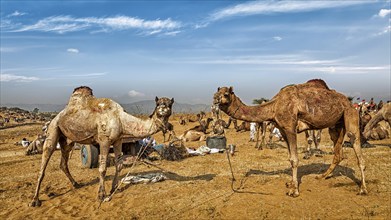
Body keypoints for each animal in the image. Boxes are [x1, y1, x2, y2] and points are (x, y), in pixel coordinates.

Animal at [31, 86, 175, 206]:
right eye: (158, 103)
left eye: (170, 104)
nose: (163, 110)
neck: (120, 119)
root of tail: (57, 116)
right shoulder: (104, 140)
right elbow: (102, 168)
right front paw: (101, 195)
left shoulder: (118, 140)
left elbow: (119, 165)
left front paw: (114, 188)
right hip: (53, 128)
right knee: (44, 162)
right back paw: (35, 200)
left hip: (67, 140)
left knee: (63, 162)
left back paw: (76, 184)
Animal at [213, 79, 370, 198]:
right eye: (216, 92)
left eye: (226, 94)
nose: (215, 99)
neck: (274, 106)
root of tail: (349, 103)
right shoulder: (282, 130)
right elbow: (290, 158)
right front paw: (291, 183)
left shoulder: (290, 127)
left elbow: (294, 159)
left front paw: (294, 191)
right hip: (336, 125)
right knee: (338, 153)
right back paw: (322, 176)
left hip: (350, 115)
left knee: (355, 144)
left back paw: (363, 189)